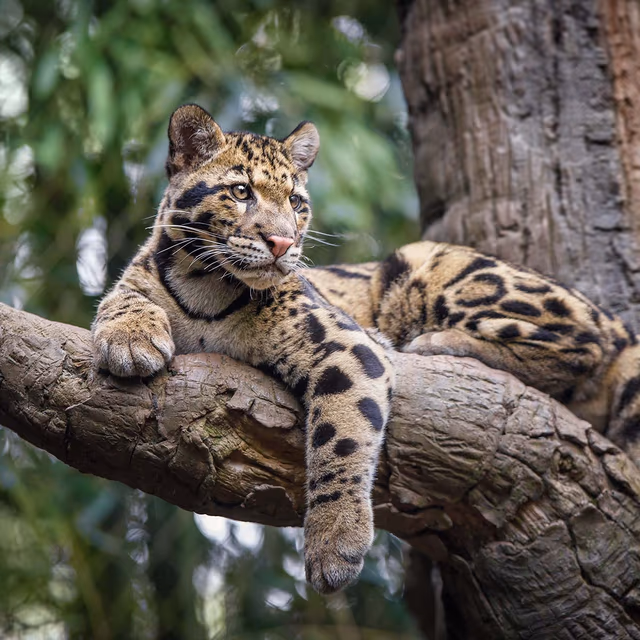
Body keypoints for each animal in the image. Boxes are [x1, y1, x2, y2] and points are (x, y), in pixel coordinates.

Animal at [93, 103, 640, 594]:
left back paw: (436, 342)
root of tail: (618, 323)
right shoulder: (141, 276)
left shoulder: (342, 344)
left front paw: (334, 543)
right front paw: (130, 339)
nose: (282, 243)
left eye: (296, 203)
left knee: (582, 346)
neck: (206, 285)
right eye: (241, 192)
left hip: (431, 263)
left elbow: (341, 437)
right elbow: (120, 297)